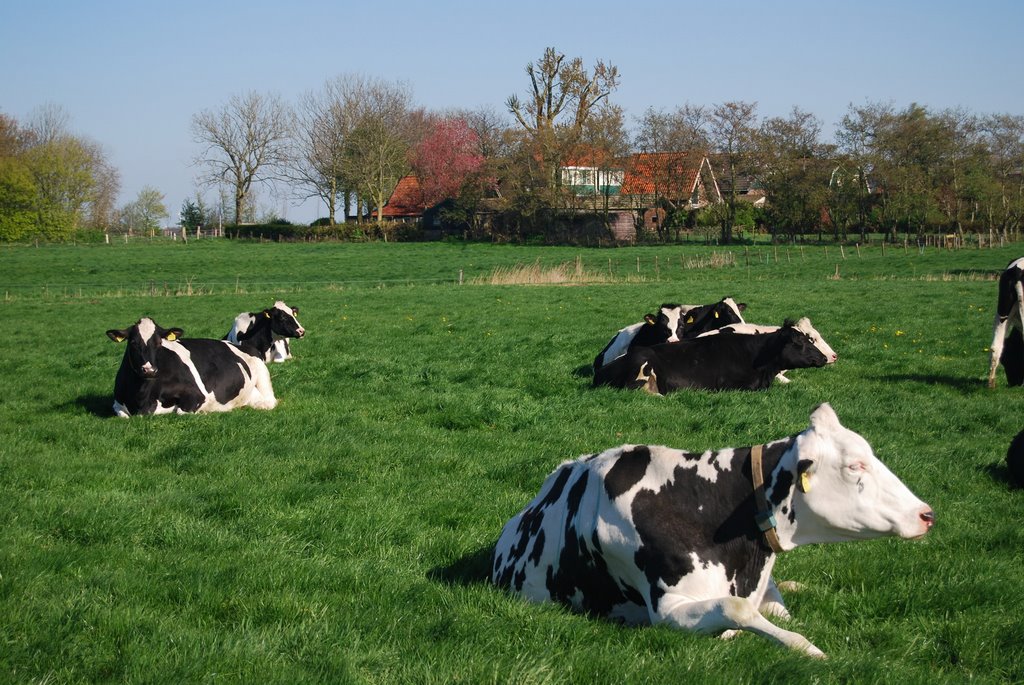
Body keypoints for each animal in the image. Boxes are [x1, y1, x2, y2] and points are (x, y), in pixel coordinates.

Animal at [105, 317, 278, 417]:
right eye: (133, 343)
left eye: (159, 342)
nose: (149, 370)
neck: (143, 398)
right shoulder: (117, 404)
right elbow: (123, 414)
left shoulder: (197, 395)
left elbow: (181, 412)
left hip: (263, 379)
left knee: (270, 402)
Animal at [489, 403, 937, 655]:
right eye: (854, 465)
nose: (926, 514)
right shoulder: (669, 612)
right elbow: (738, 610)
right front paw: (812, 651)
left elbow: (773, 607)